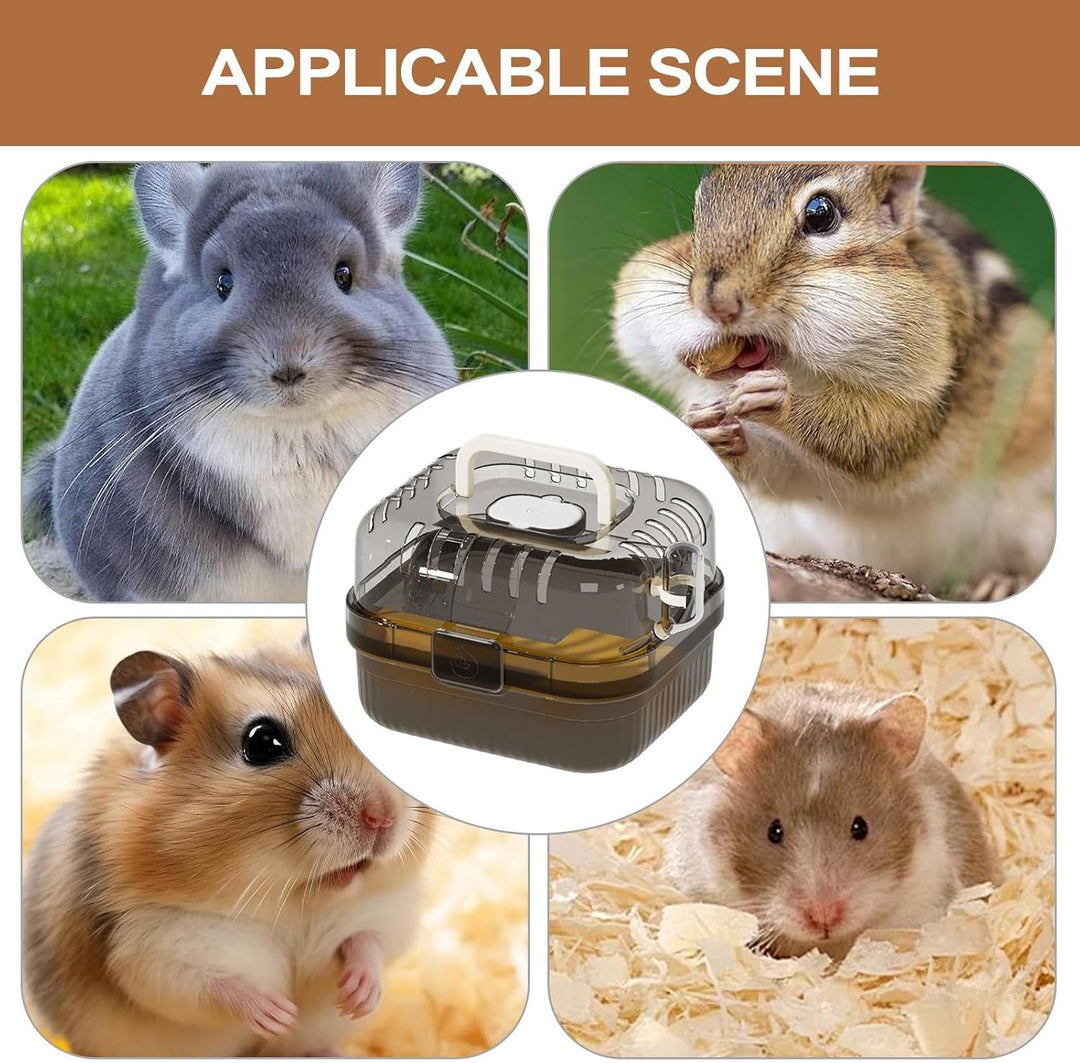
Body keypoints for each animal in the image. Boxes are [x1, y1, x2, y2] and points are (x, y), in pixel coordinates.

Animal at [22, 641, 432, 1056]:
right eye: (262, 743)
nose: (382, 817)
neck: (294, 900)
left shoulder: (384, 909)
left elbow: (368, 942)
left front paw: (358, 999)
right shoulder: (153, 946)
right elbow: (216, 986)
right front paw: (280, 1015)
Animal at [613, 164, 1054, 599]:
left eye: (821, 214)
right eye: (699, 213)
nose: (715, 303)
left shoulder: (936, 386)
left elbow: (888, 436)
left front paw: (779, 400)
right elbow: (788, 476)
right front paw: (714, 433)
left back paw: (1000, 582)